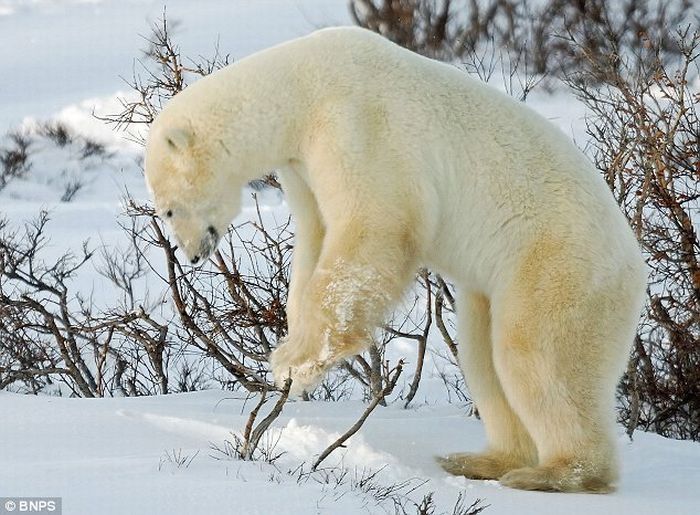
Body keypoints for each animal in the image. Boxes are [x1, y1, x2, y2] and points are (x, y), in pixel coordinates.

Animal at [142, 26, 644, 494]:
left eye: (168, 208)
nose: (192, 255)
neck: (301, 88)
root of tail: (634, 266)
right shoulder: (302, 165)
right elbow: (316, 238)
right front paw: (291, 349)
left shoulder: (356, 124)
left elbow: (374, 225)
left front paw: (294, 364)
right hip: (500, 285)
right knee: (481, 353)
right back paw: (482, 460)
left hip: (556, 262)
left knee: (534, 353)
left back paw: (556, 473)